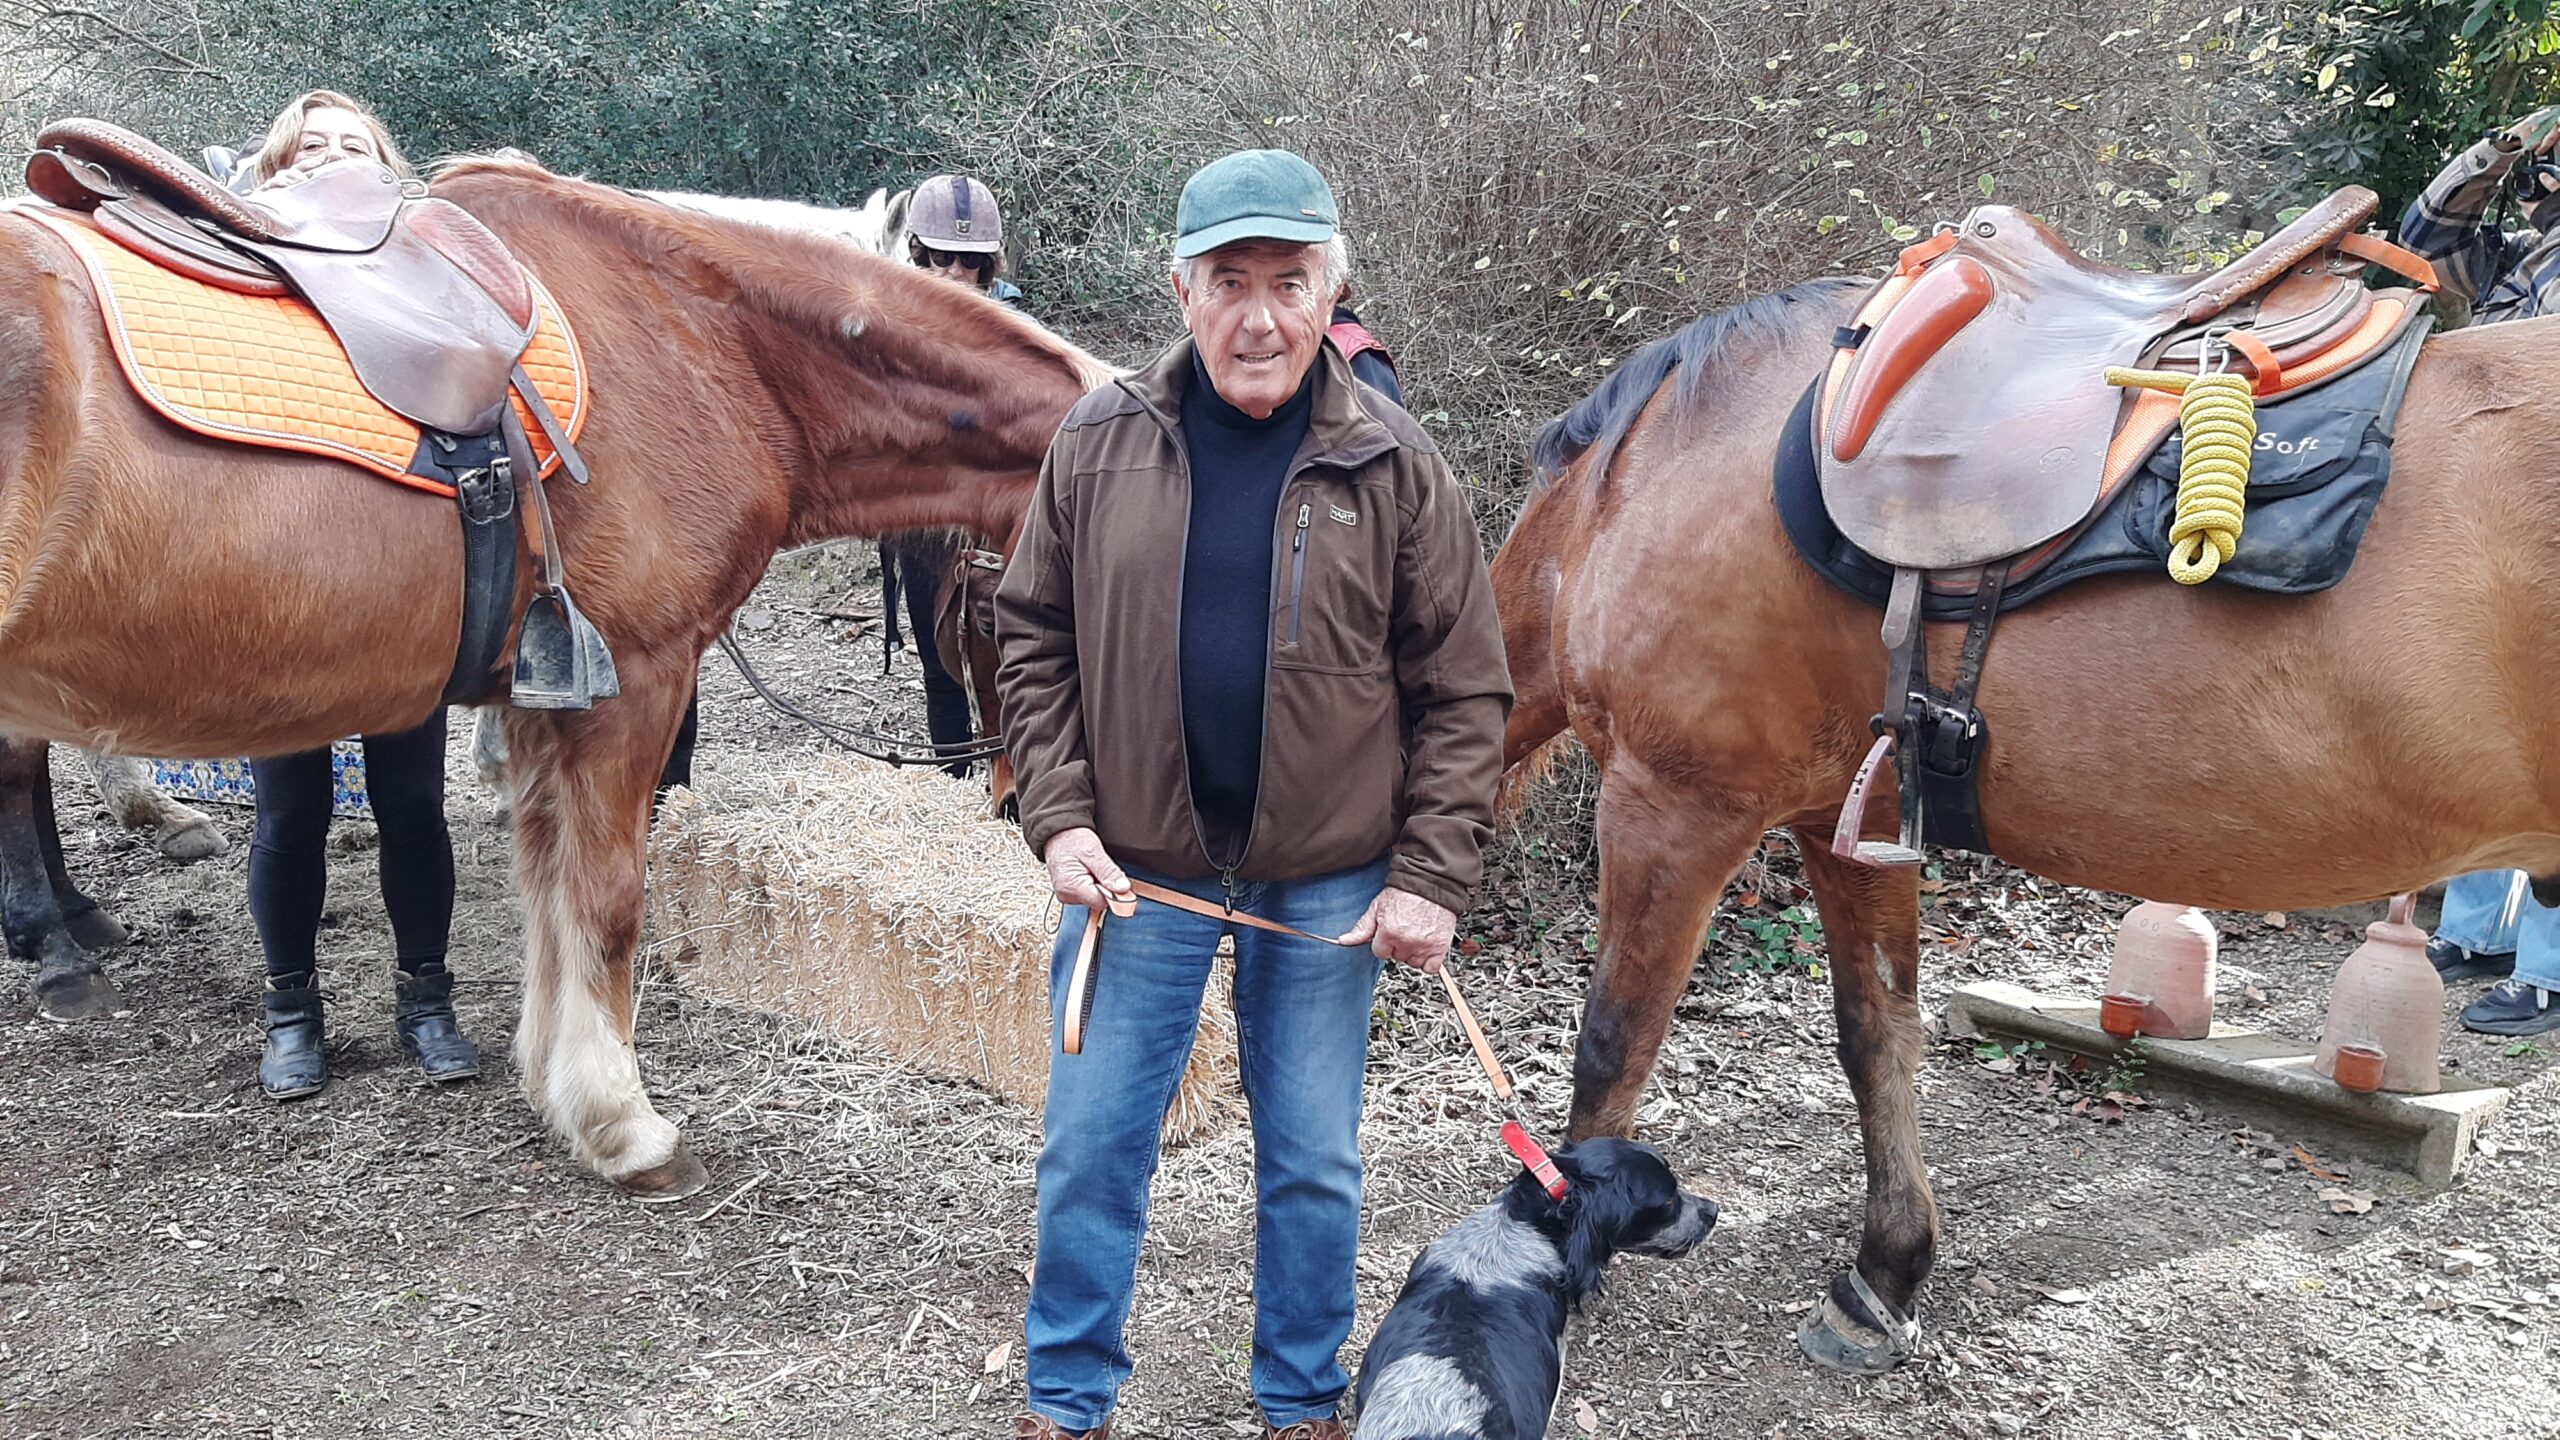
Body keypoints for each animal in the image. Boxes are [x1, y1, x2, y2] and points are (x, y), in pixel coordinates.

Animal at [0, 155, 1110, 1195]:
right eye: (1008, 611)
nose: (1015, 802)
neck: (704, 340)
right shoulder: (635, 688)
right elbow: (610, 898)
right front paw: (624, 1123)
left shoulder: (539, 706)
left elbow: (547, 888)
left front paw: (557, 1086)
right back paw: (59, 937)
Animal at [1491, 274, 2560, 1371]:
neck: (1635, 486)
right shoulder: (1852, 826)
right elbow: (1876, 1035)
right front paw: (1884, 1273)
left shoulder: (1675, 806)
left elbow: (1614, 1041)